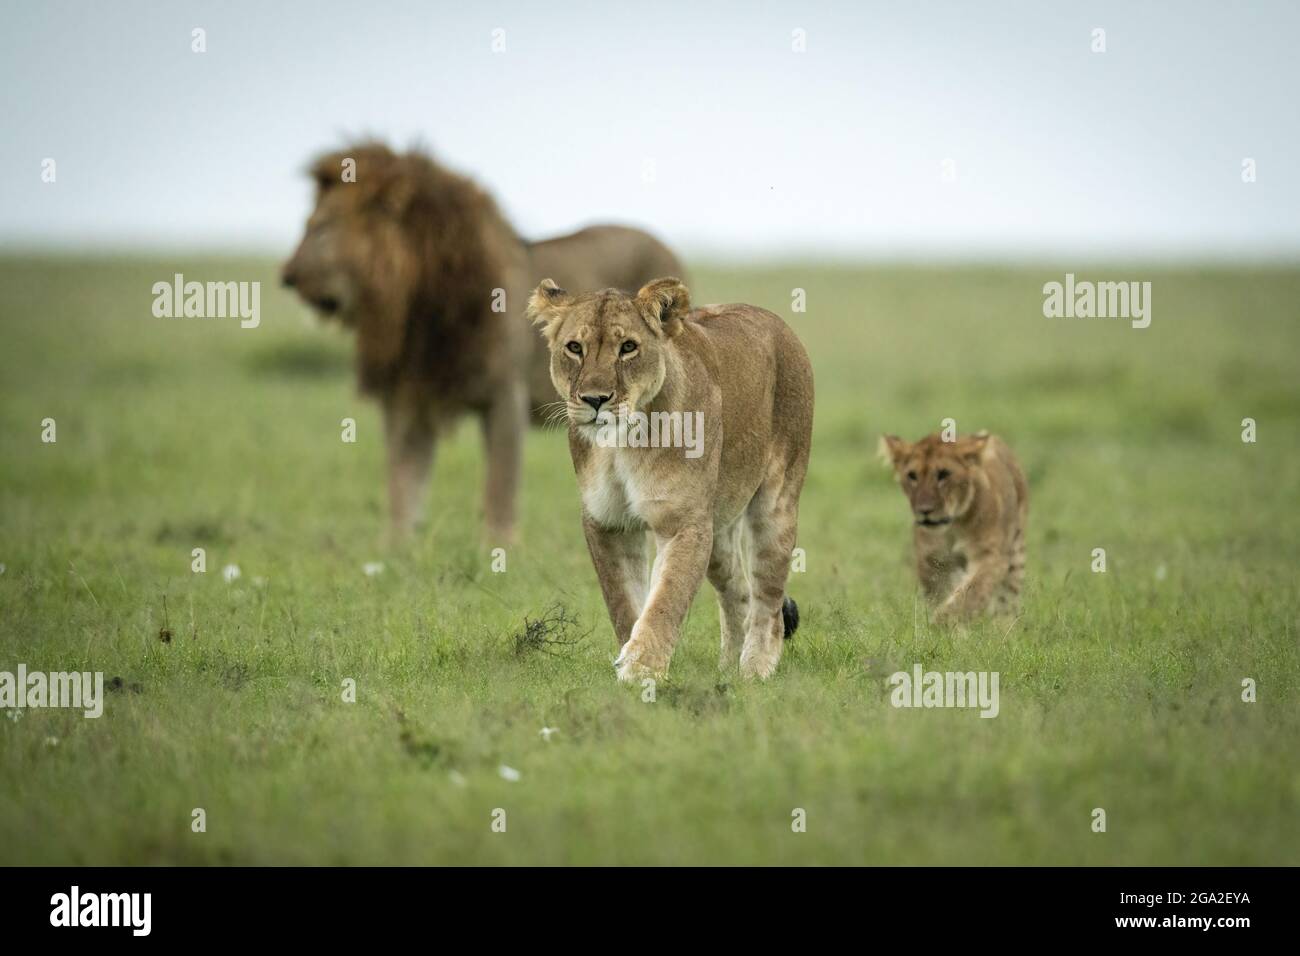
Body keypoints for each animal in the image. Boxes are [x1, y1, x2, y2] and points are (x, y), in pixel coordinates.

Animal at [280, 145, 686, 541]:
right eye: (308, 224)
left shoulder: (505, 394)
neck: (420, 305)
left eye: (322, 227)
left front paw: (500, 549)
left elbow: (499, 487)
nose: (286, 277)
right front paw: (396, 551)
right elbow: (403, 484)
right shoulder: (408, 399)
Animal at [525, 277, 811, 681]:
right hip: (717, 530)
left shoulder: (683, 523)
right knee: (737, 588)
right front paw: (629, 659)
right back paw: (728, 669)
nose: (595, 399)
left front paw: (641, 670)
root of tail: (776, 321)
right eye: (574, 348)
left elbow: (666, 598)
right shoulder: (607, 523)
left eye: (628, 347)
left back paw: (754, 670)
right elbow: (624, 603)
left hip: (776, 504)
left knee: (768, 602)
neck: (621, 444)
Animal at [883, 431, 1024, 621]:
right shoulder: (932, 561)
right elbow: (942, 594)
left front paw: (941, 623)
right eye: (912, 476)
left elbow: (970, 593)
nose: (924, 510)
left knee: (1008, 601)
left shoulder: (990, 556)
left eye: (944, 474)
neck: (952, 528)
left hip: (1016, 553)